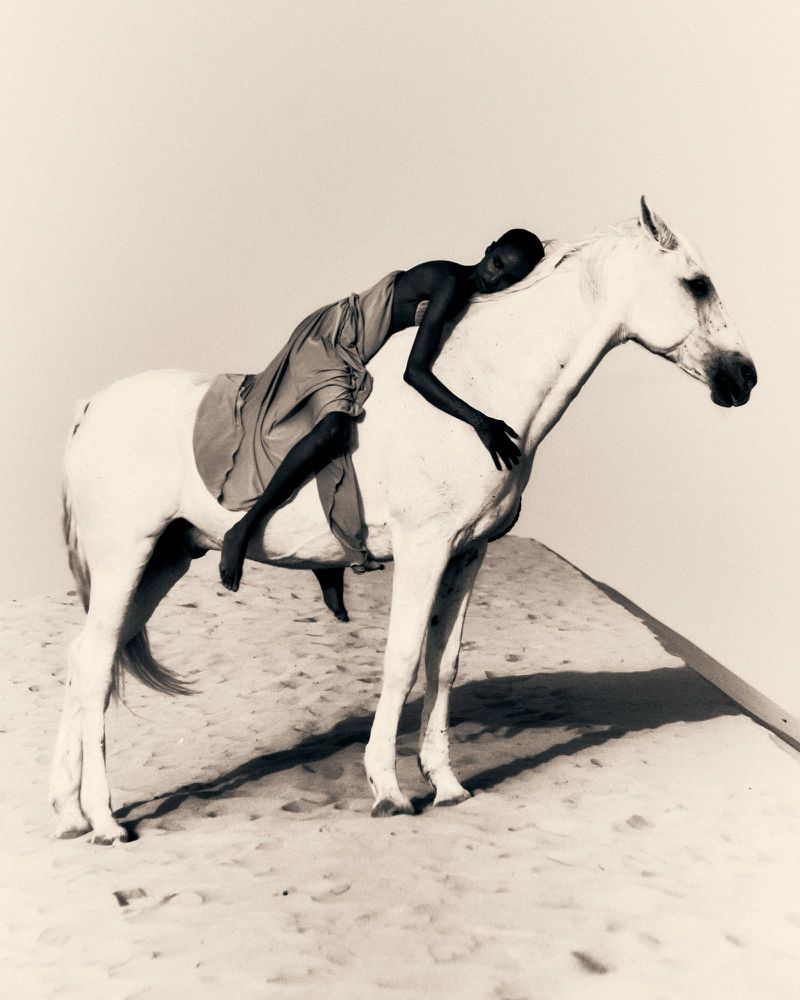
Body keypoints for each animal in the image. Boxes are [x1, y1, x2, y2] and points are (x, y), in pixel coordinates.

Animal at [52, 198, 757, 843]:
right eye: (697, 283)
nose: (744, 377)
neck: (479, 388)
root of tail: (90, 407)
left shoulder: (468, 554)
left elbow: (442, 665)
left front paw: (445, 783)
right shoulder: (423, 551)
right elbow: (401, 660)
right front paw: (388, 789)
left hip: (162, 561)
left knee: (87, 659)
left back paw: (68, 813)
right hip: (125, 560)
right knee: (96, 665)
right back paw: (105, 821)